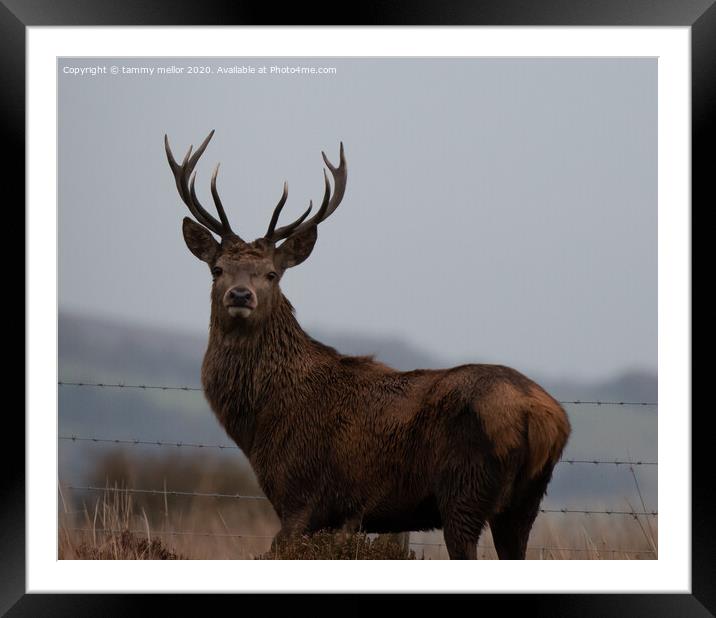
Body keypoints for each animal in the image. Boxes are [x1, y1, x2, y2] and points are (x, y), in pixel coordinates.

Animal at [164, 130, 572, 560]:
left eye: (272, 274)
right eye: (217, 269)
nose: (241, 295)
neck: (259, 424)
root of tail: (544, 417)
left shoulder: (301, 496)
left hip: (466, 490)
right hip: (523, 503)